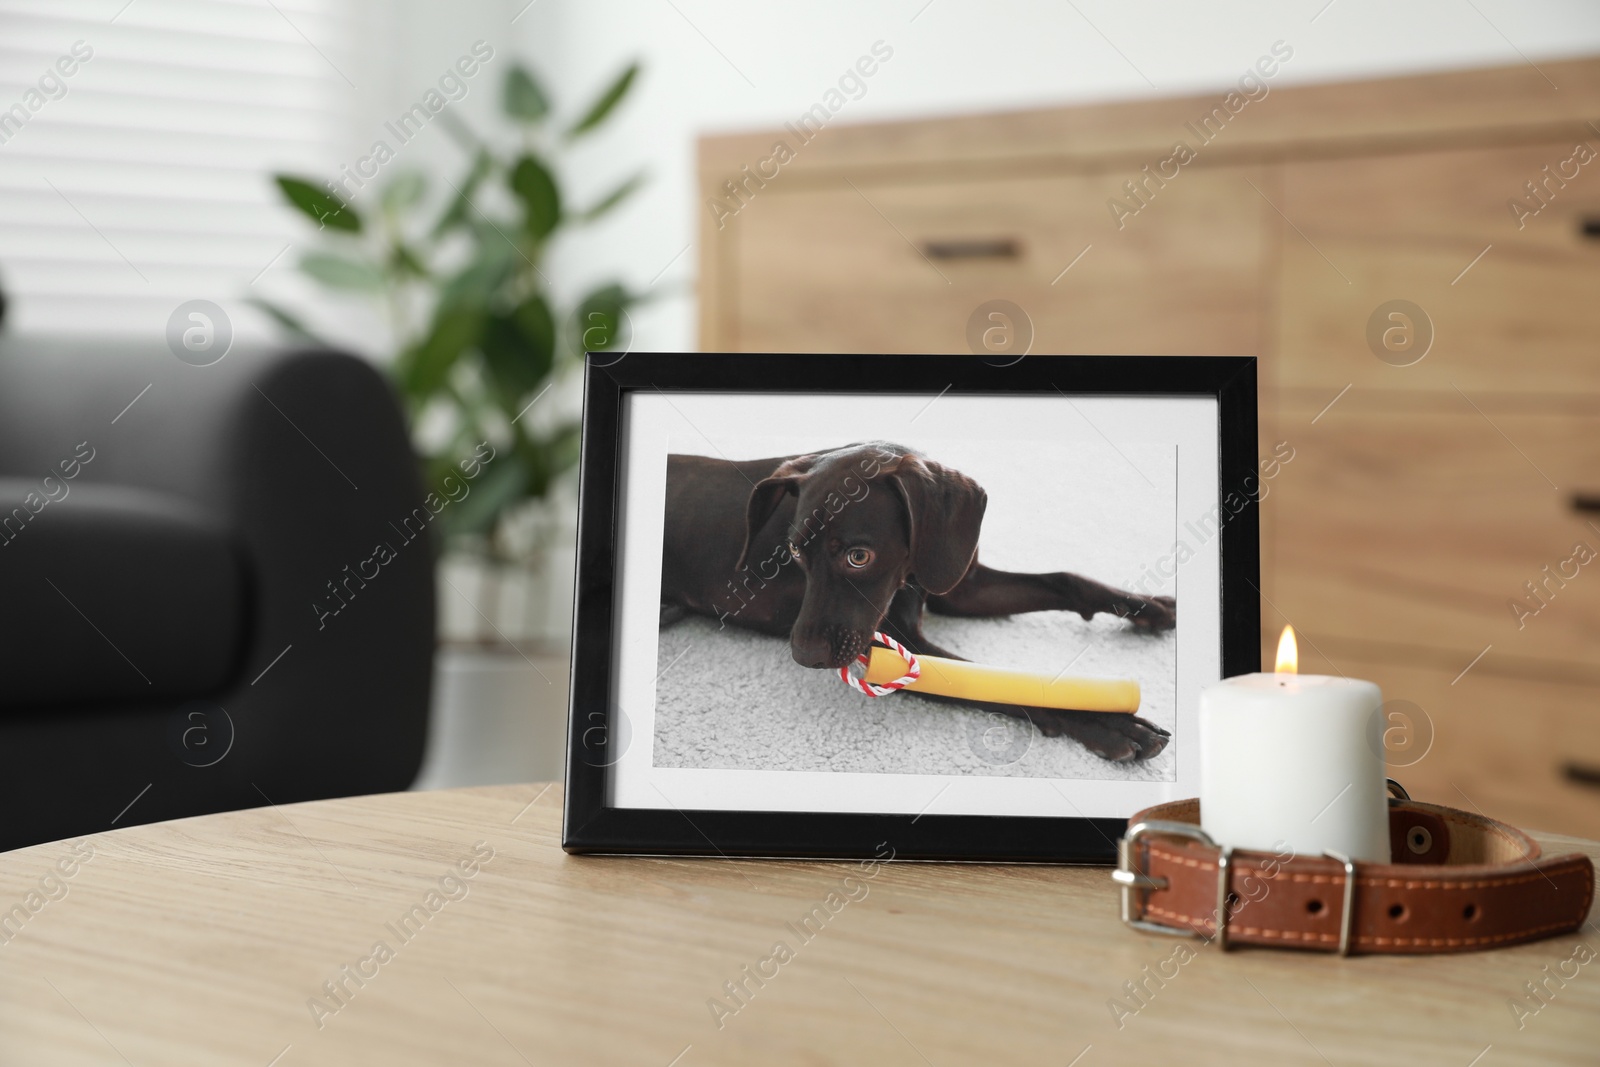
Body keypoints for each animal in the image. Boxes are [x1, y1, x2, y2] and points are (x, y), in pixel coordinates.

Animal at [662, 444, 1177, 767]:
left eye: (859, 556)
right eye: (793, 553)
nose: (804, 658)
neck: (908, 572)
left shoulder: (961, 584)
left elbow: (1066, 580)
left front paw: (1146, 605)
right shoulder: (893, 648)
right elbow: (1004, 684)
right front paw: (1115, 727)